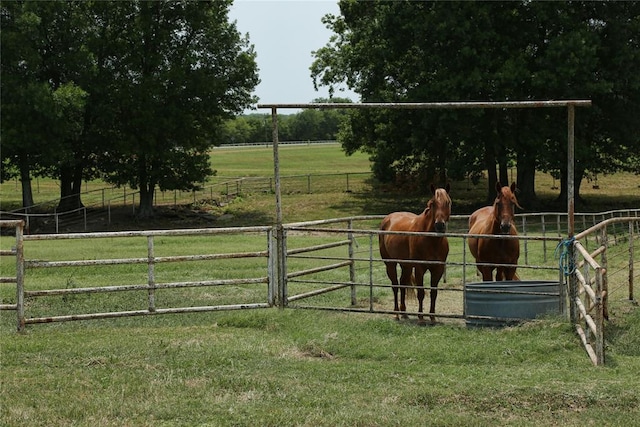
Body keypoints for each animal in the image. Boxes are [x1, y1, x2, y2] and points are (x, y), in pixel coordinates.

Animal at [378, 184, 452, 324]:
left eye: (448, 202)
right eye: (432, 203)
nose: (439, 225)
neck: (431, 240)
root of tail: (388, 219)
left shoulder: (438, 269)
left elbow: (434, 293)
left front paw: (432, 318)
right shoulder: (419, 268)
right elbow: (421, 292)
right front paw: (421, 318)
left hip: (406, 265)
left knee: (402, 283)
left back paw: (404, 313)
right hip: (390, 264)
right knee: (395, 285)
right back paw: (396, 314)